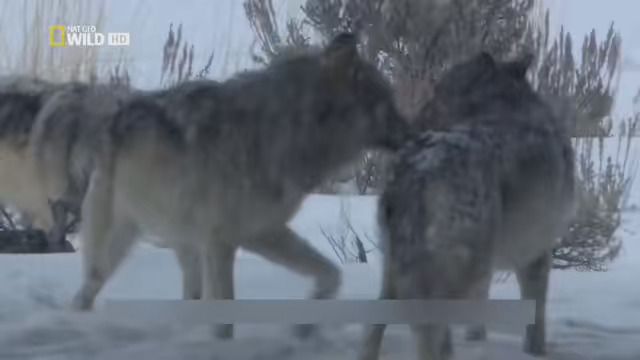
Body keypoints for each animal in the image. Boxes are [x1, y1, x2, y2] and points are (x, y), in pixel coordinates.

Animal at [70, 33, 410, 340]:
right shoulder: (222, 242)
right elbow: (225, 320)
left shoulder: (261, 233)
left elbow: (331, 273)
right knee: (85, 293)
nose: (412, 132)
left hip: (184, 247)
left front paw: (305, 327)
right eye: (387, 102)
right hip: (119, 247)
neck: (288, 131)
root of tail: (113, 118)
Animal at [360, 52, 576, 360]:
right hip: (452, 274)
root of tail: (419, 168)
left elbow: (479, 316)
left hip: (395, 272)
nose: (411, 121)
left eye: (436, 91)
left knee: (375, 329)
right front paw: (536, 353)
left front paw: (477, 340)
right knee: (429, 334)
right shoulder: (536, 255)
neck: (506, 105)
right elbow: (536, 320)